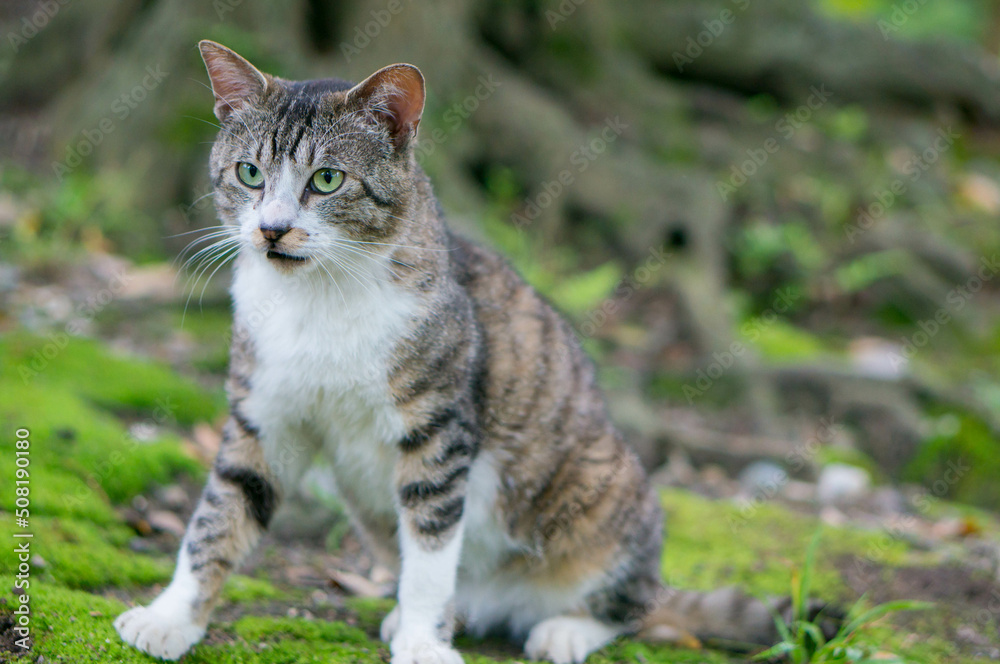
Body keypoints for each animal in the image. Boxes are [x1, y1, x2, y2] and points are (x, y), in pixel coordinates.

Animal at [113, 41, 828, 664]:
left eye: (327, 179)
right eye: (249, 173)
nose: (271, 230)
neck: (317, 302)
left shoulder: (438, 427)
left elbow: (431, 553)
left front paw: (424, 645)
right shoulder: (265, 414)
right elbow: (219, 515)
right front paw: (170, 618)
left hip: (607, 489)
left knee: (635, 604)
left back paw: (558, 629)